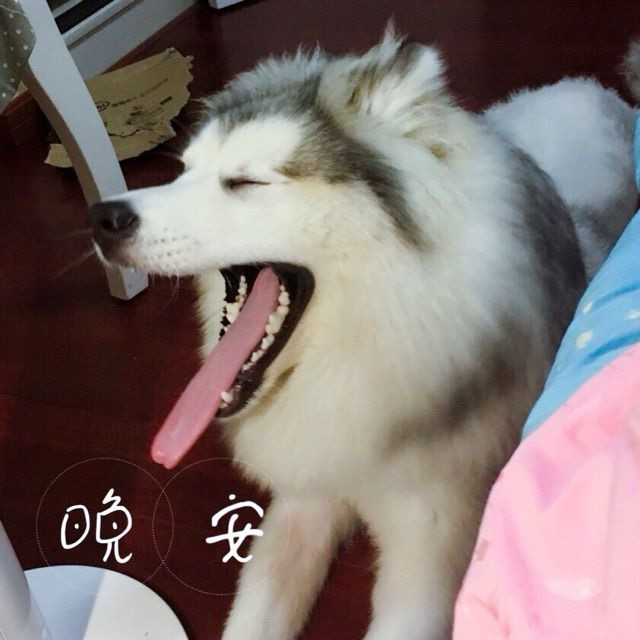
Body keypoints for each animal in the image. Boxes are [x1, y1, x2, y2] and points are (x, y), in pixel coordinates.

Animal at [89, 30, 639, 640]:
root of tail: (588, 90)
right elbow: (254, 617)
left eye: (246, 181)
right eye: (183, 171)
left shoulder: (430, 555)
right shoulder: (304, 501)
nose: (102, 218)